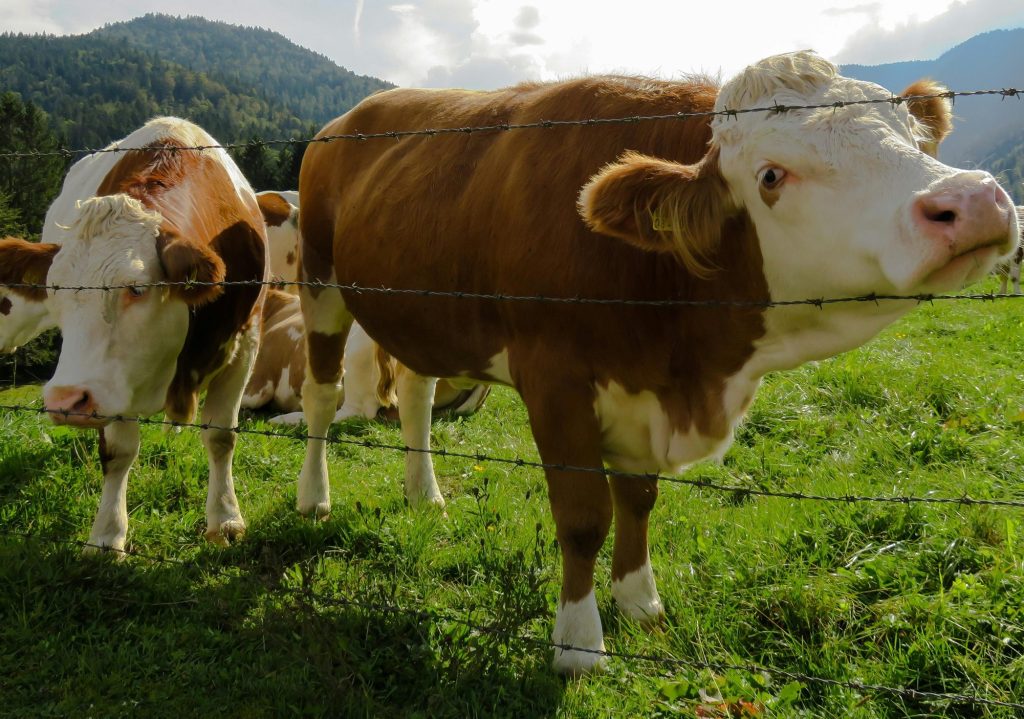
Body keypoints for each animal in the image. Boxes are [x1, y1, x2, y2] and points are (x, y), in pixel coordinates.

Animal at [292, 53, 1019, 680]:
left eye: (916, 139)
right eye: (771, 176)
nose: (973, 200)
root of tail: (348, 119)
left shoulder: (640, 389)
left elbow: (637, 499)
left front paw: (639, 600)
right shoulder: (553, 376)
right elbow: (583, 514)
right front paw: (579, 644)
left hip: (422, 311)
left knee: (416, 389)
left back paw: (425, 495)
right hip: (317, 279)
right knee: (322, 394)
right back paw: (313, 497)